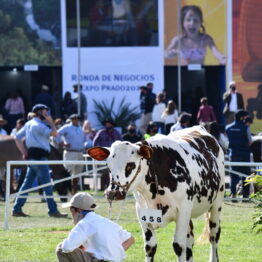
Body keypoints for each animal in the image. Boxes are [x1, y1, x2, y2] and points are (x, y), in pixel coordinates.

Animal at [88, 126, 225, 260]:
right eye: (108, 165)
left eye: (130, 165)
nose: (112, 193)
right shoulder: (142, 212)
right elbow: (150, 247)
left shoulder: (183, 210)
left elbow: (179, 245)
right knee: (190, 241)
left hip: (216, 204)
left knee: (213, 236)